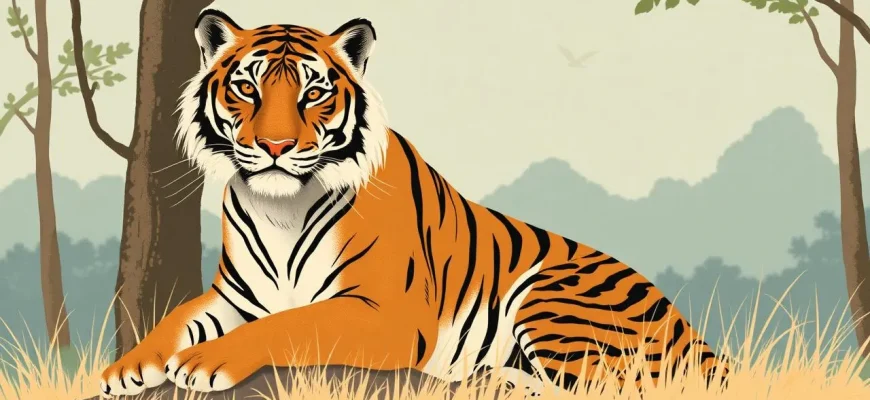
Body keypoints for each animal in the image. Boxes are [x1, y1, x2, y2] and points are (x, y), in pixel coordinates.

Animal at [97, 9, 729, 398]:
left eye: (313, 92)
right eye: (246, 88)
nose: (275, 147)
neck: (281, 208)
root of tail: (698, 337)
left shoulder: (386, 312)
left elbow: (293, 323)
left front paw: (204, 363)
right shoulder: (237, 297)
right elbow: (177, 318)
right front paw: (129, 369)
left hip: (555, 296)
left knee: (607, 385)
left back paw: (495, 378)